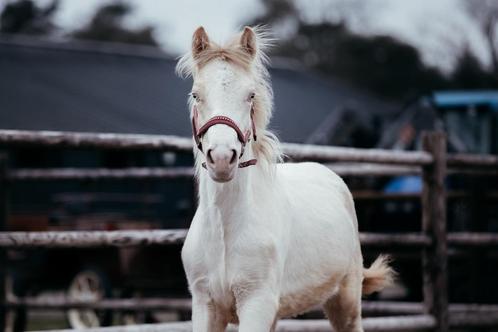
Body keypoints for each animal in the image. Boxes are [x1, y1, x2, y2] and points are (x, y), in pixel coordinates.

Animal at [177, 26, 394, 332]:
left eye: (250, 95)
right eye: (196, 95)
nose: (221, 158)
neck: (223, 231)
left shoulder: (256, 303)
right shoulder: (205, 305)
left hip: (346, 301)